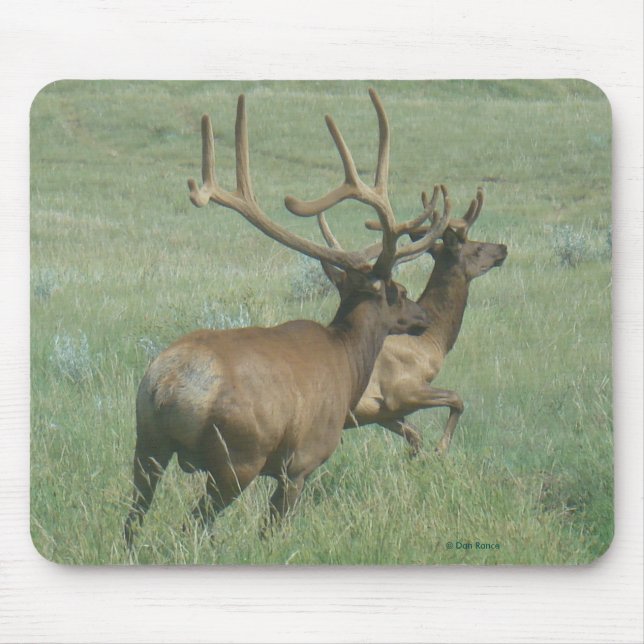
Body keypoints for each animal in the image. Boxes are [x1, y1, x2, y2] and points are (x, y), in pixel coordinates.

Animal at [124, 89, 451, 547]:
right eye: (399, 292)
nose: (422, 317)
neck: (348, 362)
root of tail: (168, 387)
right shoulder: (301, 460)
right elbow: (273, 530)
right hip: (237, 458)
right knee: (192, 524)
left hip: (146, 444)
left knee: (132, 522)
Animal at [318, 187, 507, 456]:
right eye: (477, 248)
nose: (502, 248)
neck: (433, 341)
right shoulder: (401, 390)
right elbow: (457, 399)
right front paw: (441, 448)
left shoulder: (382, 412)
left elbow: (415, 435)